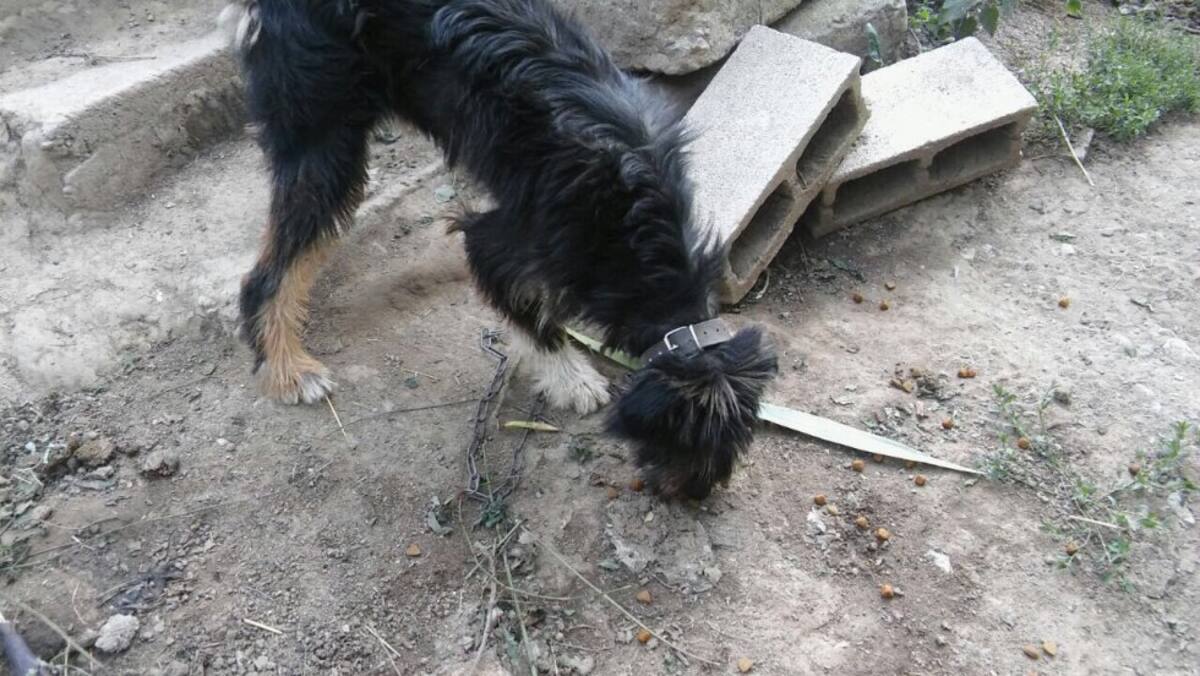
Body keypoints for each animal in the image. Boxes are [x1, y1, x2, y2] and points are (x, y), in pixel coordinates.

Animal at [222, 0, 778, 499]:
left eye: (735, 442)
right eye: (687, 437)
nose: (692, 497)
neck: (634, 220)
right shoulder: (503, 239)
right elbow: (530, 314)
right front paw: (571, 379)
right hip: (325, 134)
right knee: (266, 273)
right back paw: (286, 369)